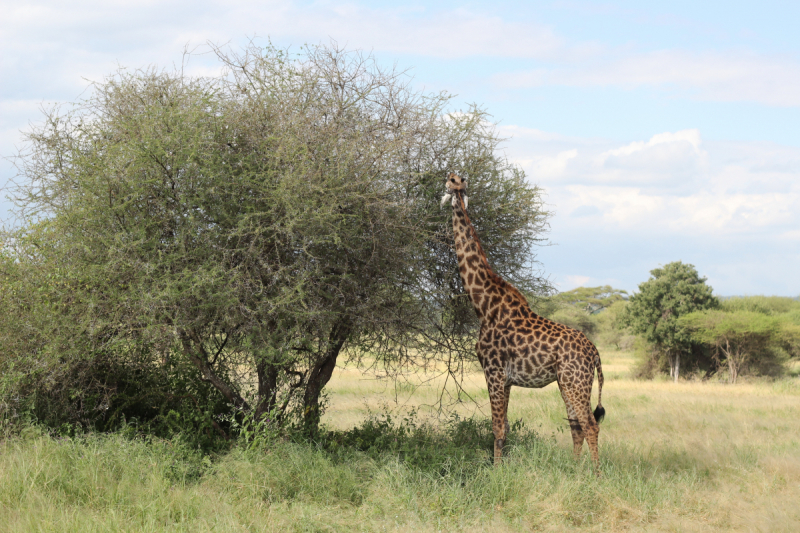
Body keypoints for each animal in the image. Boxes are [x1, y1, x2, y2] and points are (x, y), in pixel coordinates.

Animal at [440, 174, 604, 474]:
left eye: (453, 180)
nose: (450, 184)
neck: (483, 305)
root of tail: (595, 353)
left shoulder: (493, 371)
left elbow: (496, 428)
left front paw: (495, 473)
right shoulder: (506, 379)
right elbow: (504, 426)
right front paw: (501, 469)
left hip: (576, 382)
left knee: (590, 425)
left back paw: (596, 477)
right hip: (567, 382)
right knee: (576, 425)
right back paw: (575, 473)